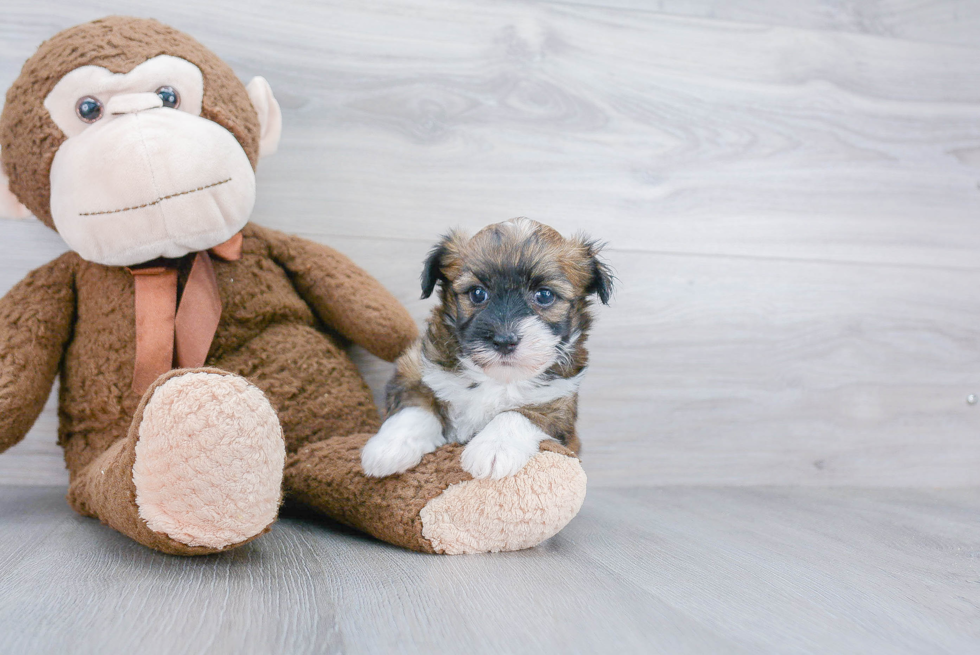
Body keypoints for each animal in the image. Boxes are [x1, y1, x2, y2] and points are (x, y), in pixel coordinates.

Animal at [360, 218, 612, 480]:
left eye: (544, 295)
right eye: (478, 293)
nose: (504, 340)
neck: (495, 377)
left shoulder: (560, 407)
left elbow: (520, 413)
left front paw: (494, 447)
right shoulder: (414, 367)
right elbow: (414, 405)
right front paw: (389, 448)